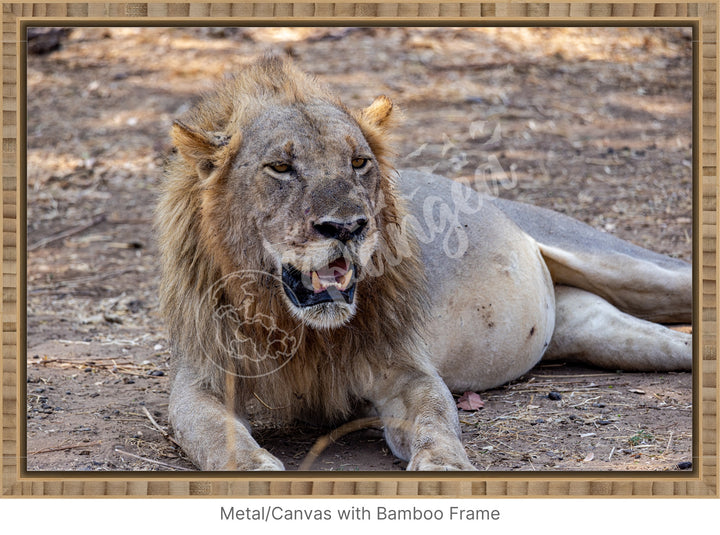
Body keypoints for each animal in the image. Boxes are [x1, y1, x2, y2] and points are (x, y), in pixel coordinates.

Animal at [158, 55, 692, 474]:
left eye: (358, 162)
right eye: (281, 168)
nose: (348, 227)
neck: (303, 331)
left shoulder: (405, 369)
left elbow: (435, 416)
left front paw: (444, 463)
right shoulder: (203, 378)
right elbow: (214, 434)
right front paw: (254, 467)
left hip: (624, 264)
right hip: (602, 333)